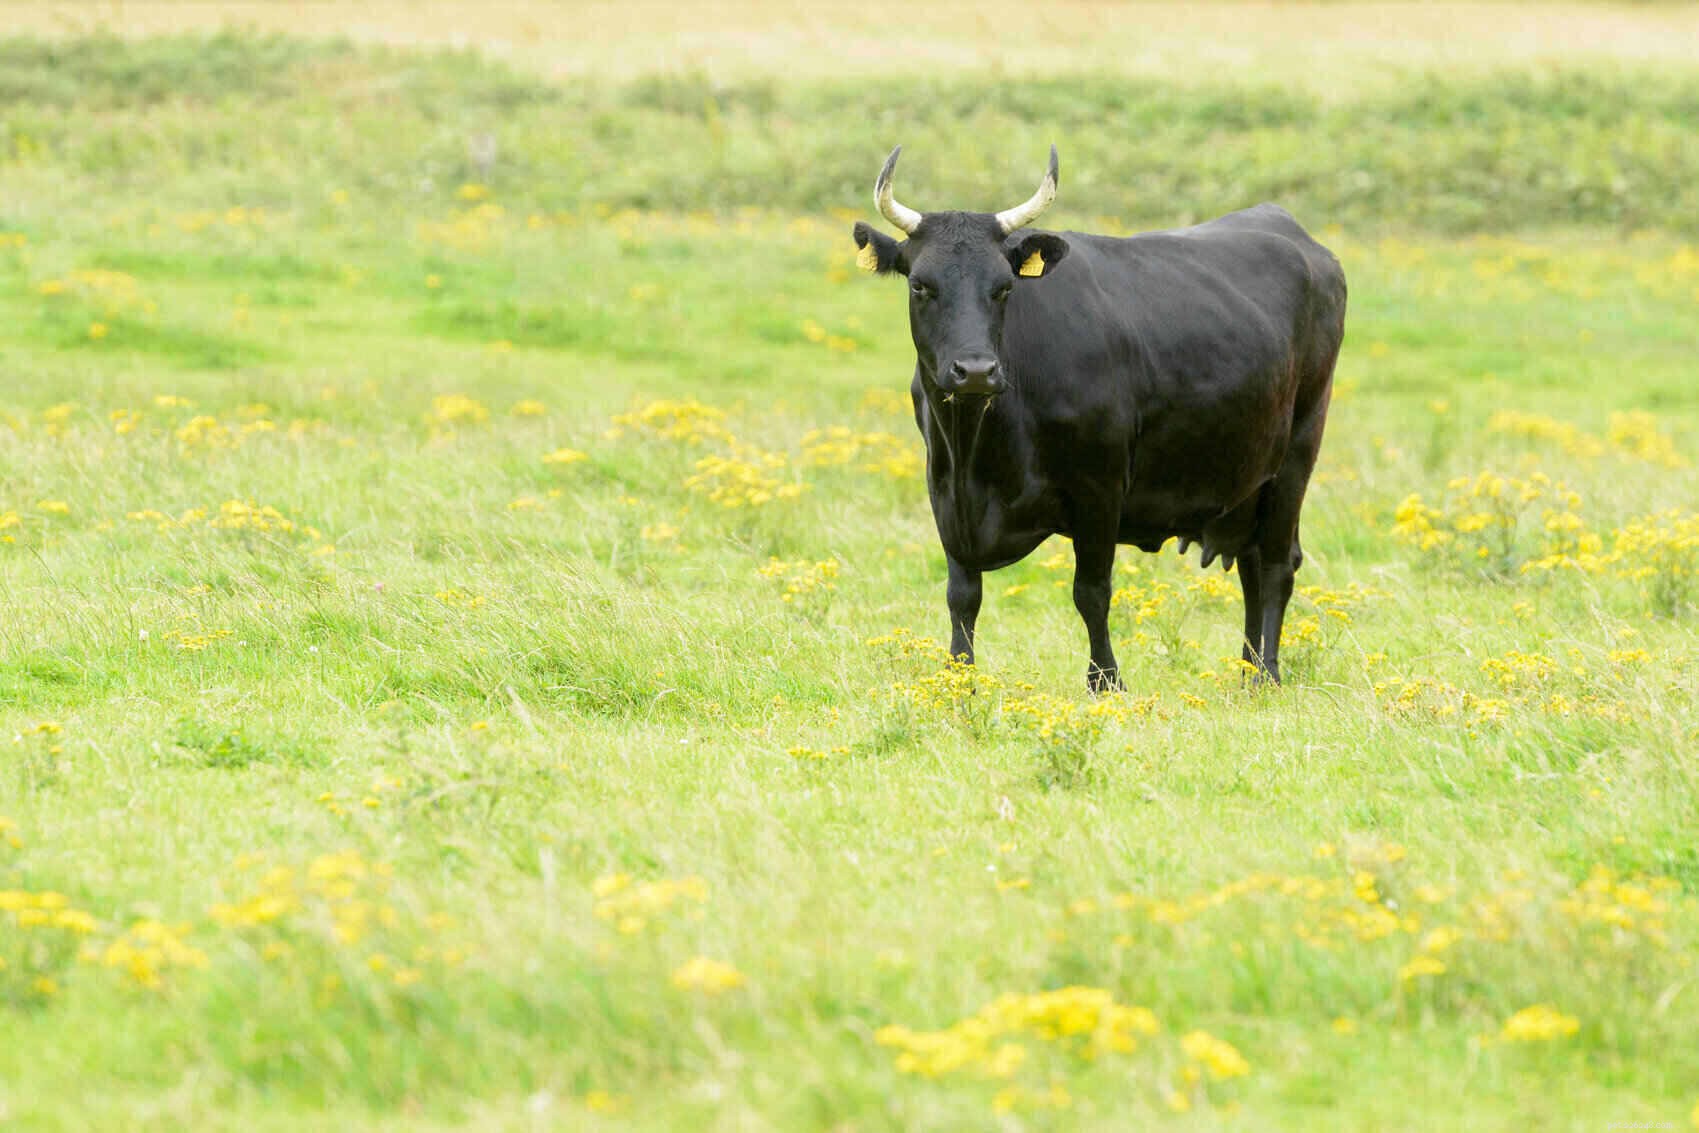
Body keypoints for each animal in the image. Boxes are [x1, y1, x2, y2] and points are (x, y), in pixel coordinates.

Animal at [852, 146, 1347, 691]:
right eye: (921, 286)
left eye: (1003, 288)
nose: (975, 371)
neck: (977, 449)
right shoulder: (944, 490)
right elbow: (962, 594)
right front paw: (960, 677)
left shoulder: (1100, 488)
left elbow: (1090, 591)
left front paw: (1105, 681)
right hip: (1248, 482)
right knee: (1252, 566)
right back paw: (1247, 670)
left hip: (1297, 453)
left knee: (1277, 565)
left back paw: (1267, 676)